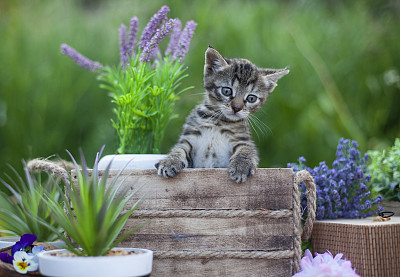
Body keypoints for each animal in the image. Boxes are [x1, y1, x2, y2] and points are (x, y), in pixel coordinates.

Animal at [155, 46, 290, 182]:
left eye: (251, 98)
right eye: (226, 91)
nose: (236, 108)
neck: (218, 122)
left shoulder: (243, 140)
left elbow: (246, 149)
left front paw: (241, 166)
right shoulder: (190, 138)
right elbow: (179, 149)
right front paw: (170, 161)